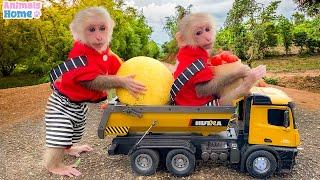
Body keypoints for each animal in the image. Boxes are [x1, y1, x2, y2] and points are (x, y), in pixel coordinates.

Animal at [43, 7, 146, 177]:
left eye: (102, 28)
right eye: (91, 29)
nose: (99, 36)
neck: (95, 51)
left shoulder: (109, 54)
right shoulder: (80, 58)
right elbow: (93, 81)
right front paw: (125, 82)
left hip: (79, 123)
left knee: (74, 135)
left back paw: (72, 149)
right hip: (60, 114)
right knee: (61, 136)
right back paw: (55, 167)